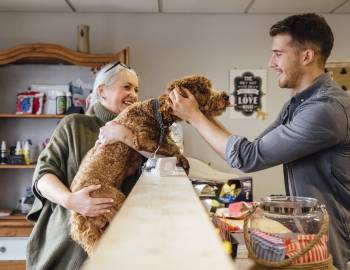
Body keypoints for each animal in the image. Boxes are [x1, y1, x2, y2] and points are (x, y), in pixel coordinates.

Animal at [69, 74, 231, 255]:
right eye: (203, 89)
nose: (226, 96)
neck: (155, 112)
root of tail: (77, 217)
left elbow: (171, 145)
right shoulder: (142, 139)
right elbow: (170, 148)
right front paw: (183, 161)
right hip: (112, 199)